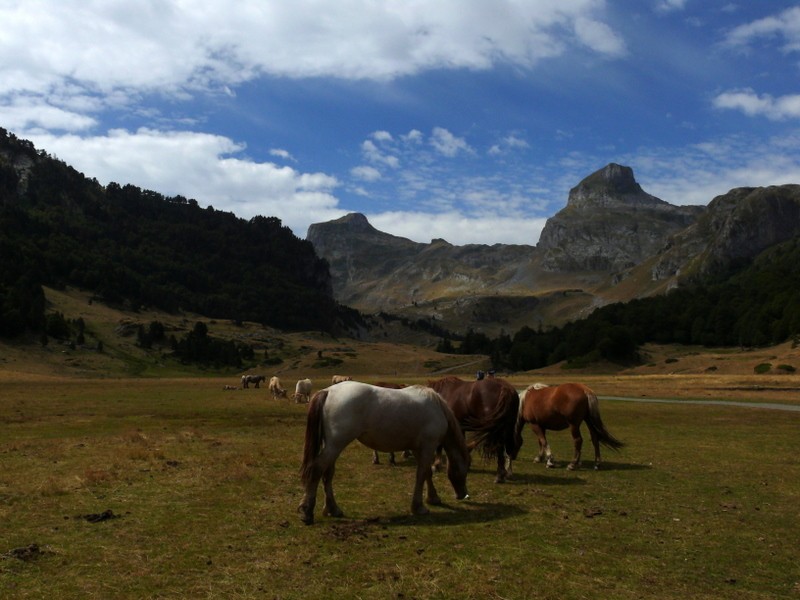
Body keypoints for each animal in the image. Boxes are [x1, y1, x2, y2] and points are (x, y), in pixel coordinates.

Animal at [298, 382, 468, 524]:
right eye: (464, 471)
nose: (463, 495)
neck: (438, 408)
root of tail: (328, 391)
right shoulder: (428, 446)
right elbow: (421, 474)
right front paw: (419, 507)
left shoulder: (418, 448)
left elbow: (426, 473)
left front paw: (433, 498)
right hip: (336, 445)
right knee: (316, 470)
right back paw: (307, 512)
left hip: (332, 446)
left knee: (328, 474)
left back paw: (333, 509)